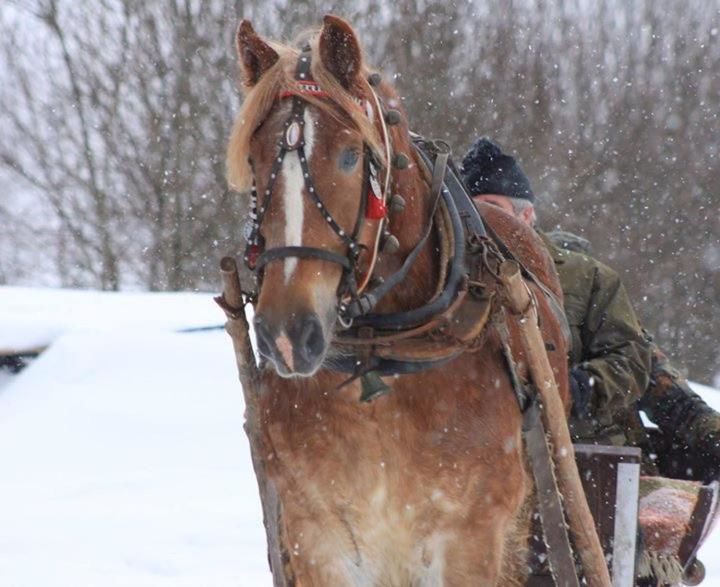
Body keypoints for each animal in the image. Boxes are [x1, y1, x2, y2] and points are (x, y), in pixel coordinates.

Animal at [225, 14, 568, 587]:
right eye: (253, 159)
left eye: (348, 155)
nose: (287, 334)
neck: (382, 355)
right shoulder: (317, 536)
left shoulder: (470, 539)